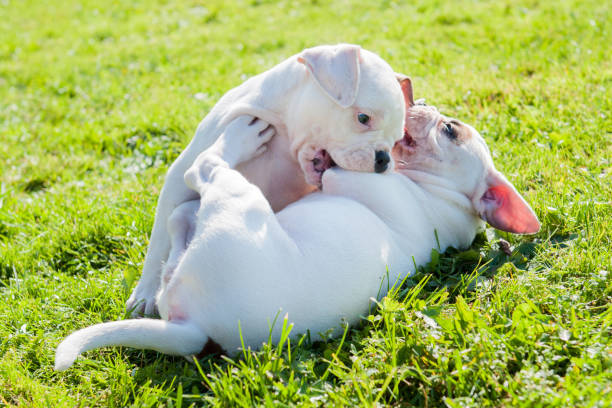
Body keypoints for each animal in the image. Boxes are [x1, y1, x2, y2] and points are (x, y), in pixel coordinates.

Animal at [55, 82, 536, 370]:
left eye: (450, 130)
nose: (418, 101)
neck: (441, 195)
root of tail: (194, 326)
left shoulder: (357, 181)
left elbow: (335, 173)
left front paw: (321, 161)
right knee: (178, 223)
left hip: (239, 200)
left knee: (203, 170)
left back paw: (238, 141)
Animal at [127, 44, 406, 316]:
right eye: (363, 118)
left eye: (397, 139)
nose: (383, 159)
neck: (283, 135)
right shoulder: (175, 184)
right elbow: (158, 240)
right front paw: (145, 293)